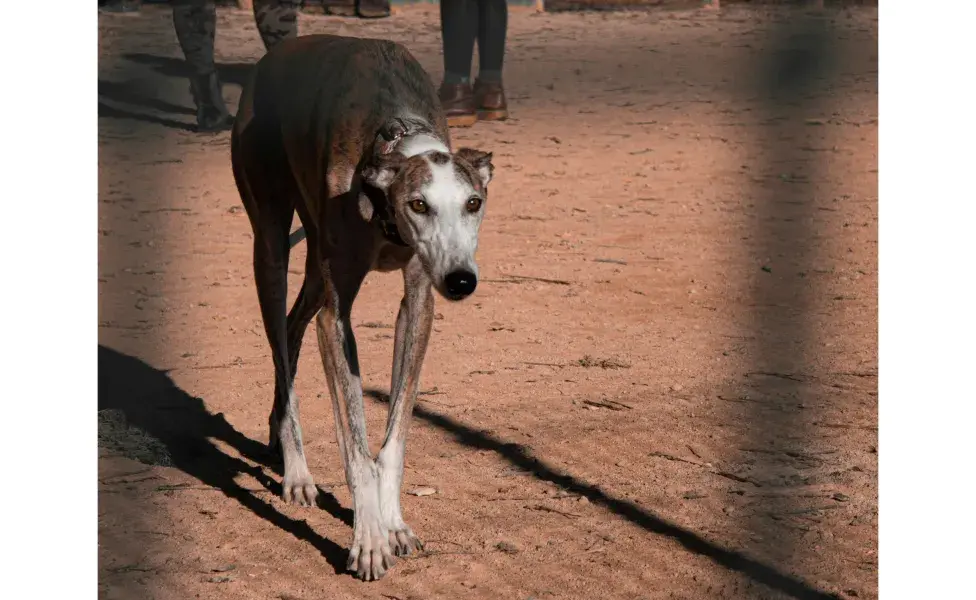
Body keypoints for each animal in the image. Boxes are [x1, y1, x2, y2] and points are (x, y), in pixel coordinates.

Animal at [231, 34, 496, 580]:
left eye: (474, 203)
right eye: (418, 204)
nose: (461, 281)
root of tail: (273, 55)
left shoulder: (418, 304)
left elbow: (393, 439)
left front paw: (393, 525)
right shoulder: (337, 318)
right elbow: (355, 442)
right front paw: (369, 538)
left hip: (315, 265)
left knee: (292, 326)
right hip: (271, 247)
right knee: (279, 332)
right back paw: (296, 470)